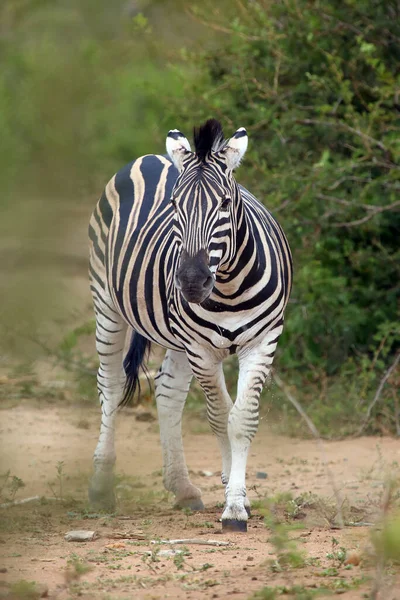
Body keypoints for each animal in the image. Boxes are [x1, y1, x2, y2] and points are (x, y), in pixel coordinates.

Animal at [89, 119, 292, 532]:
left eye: (226, 203)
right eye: (174, 205)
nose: (191, 282)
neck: (229, 286)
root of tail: (152, 156)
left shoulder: (263, 342)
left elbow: (241, 418)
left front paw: (237, 499)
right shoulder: (202, 350)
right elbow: (219, 417)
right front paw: (233, 501)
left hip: (177, 337)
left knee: (167, 392)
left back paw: (183, 488)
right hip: (107, 302)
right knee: (111, 384)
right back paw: (102, 486)